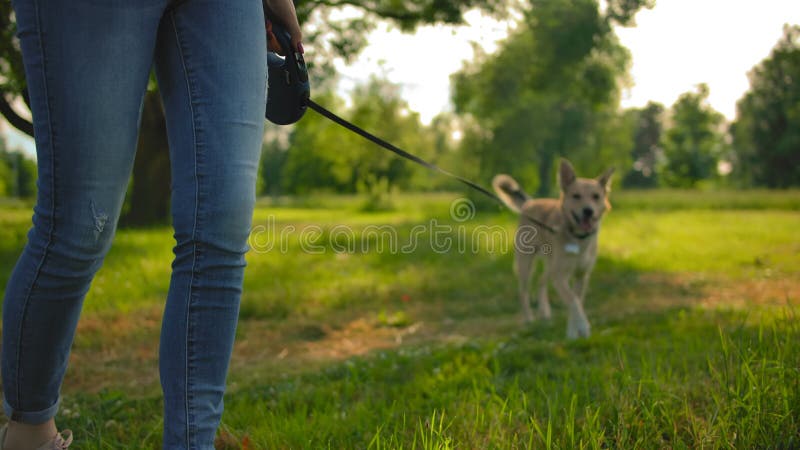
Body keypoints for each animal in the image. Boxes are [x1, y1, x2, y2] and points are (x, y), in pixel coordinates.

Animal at [494, 158, 612, 338]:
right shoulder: (560, 276)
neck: (578, 239)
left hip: (551, 265)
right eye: (576, 196)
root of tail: (530, 203)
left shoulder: (581, 275)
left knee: (541, 282)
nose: (588, 211)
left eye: (596, 197)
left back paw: (544, 312)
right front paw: (582, 327)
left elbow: (576, 301)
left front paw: (573, 333)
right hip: (526, 264)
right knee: (523, 291)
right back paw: (529, 318)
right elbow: (573, 301)